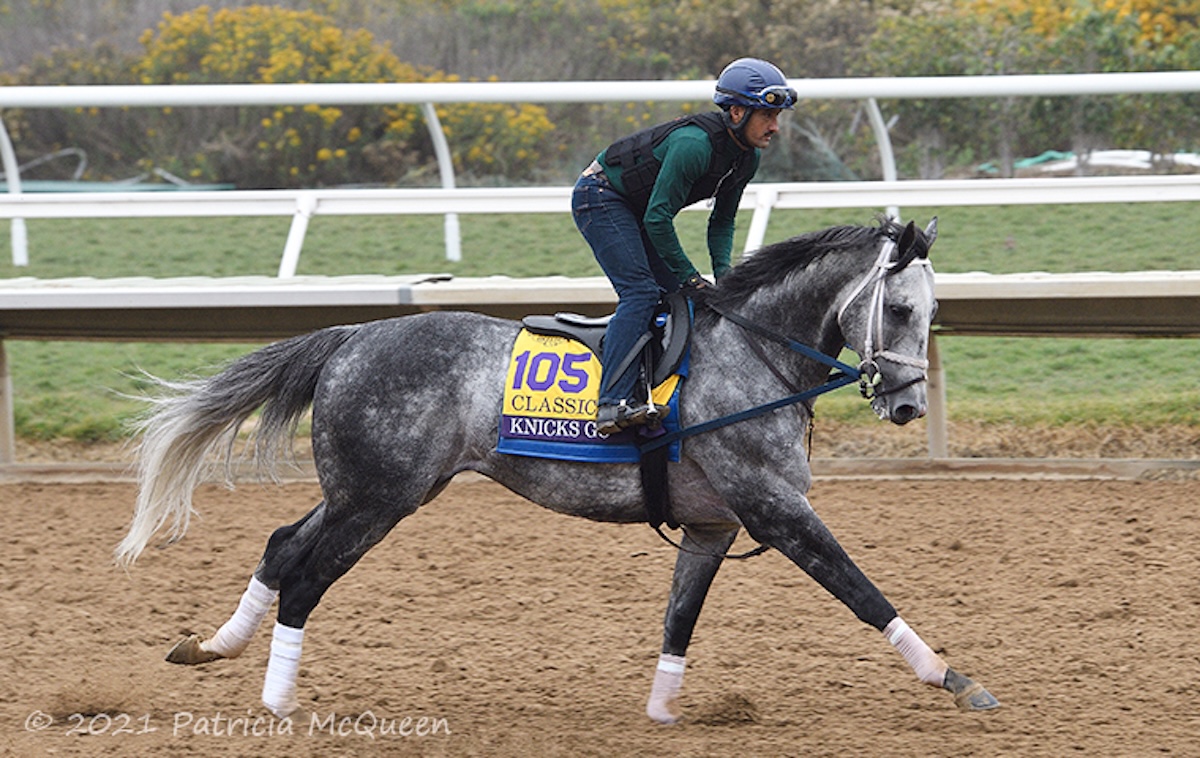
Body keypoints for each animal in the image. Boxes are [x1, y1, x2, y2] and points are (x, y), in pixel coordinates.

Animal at [116, 216, 999, 722]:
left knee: (280, 544)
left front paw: (662, 710)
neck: (756, 353)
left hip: (369, 490)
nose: (907, 406)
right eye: (901, 308)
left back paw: (212, 647)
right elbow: (861, 590)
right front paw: (953, 678)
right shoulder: (775, 508)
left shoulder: (713, 525)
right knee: (305, 578)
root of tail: (351, 337)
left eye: (934, 314)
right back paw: (277, 700)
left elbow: (680, 619)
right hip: (378, 498)